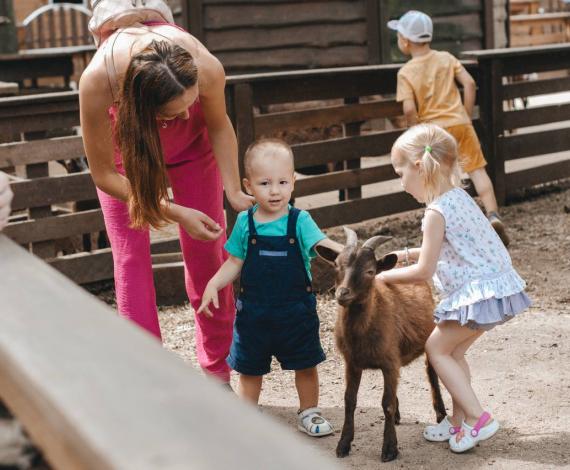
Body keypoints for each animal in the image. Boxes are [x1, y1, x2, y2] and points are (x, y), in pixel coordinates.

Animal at [316, 228, 444, 462]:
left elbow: (386, 403)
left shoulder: (389, 362)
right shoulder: (352, 363)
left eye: (370, 271)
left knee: (431, 373)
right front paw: (343, 444)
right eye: (336, 264)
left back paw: (441, 414)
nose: (342, 293)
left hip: (429, 337)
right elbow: (350, 400)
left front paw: (389, 449)